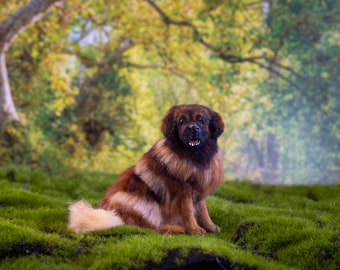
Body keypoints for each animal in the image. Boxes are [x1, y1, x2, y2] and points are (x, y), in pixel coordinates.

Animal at [67, 104, 224, 234]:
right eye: (181, 121)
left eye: (201, 120)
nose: (192, 128)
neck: (194, 156)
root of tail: (107, 212)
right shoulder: (183, 190)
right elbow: (188, 212)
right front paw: (194, 229)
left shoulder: (199, 188)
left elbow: (203, 210)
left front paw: (210, 226)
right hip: (144, 204)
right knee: (152, 227)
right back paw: (176, 228)